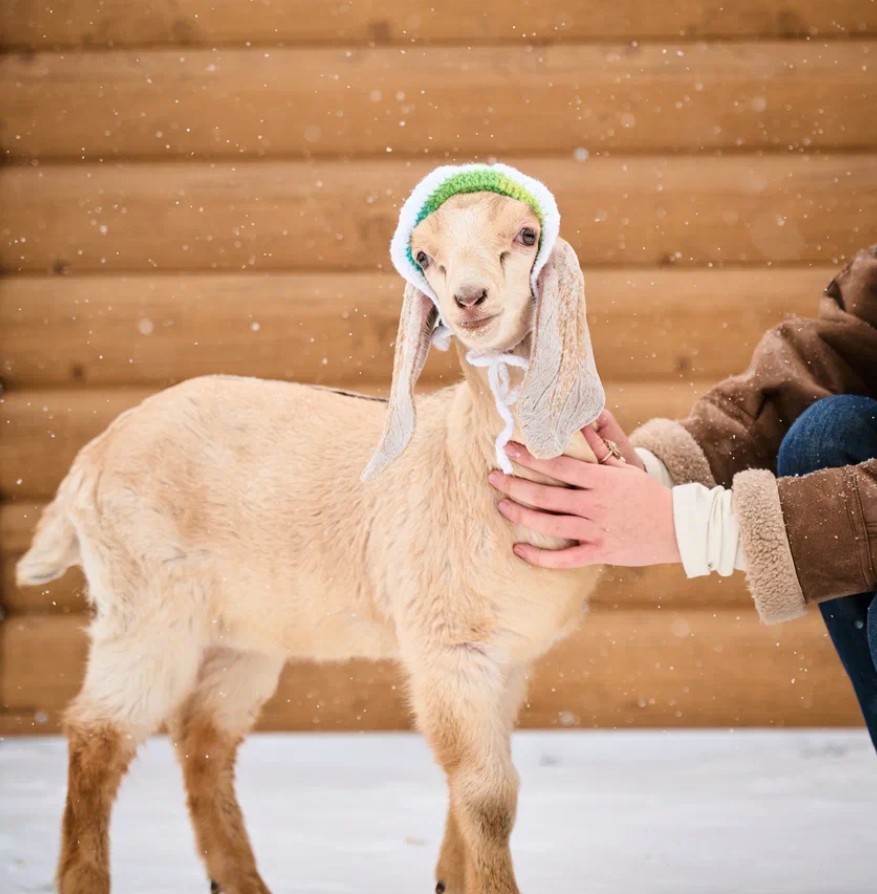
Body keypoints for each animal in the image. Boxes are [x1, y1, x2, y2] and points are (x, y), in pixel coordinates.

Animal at [18, 167, 608, 894]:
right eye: (424, 256)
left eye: (526, 235)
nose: (469, 298)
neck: (469, 454)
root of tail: (90, 461)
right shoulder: (447, 646)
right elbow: (487, 796)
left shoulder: (510, 658)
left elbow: (472, 793)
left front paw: (450, 879)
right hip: (144, 602)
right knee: (96, 732)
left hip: (243, 629)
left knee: (203, 737)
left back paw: (242, 881)